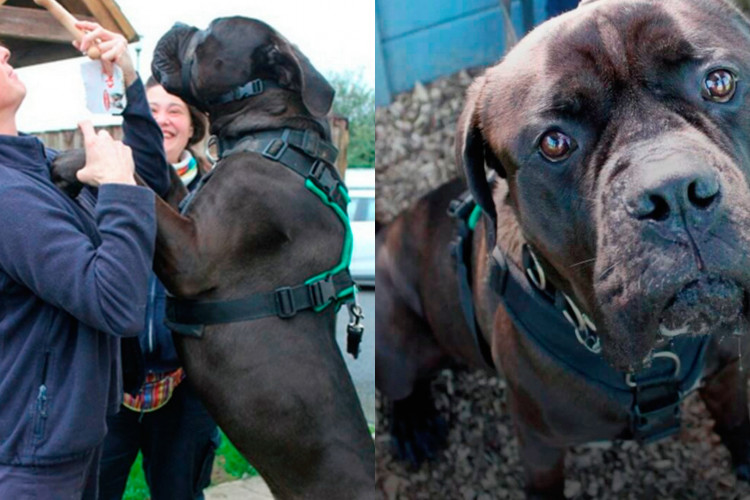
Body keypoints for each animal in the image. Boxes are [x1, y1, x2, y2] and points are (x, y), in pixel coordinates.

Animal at [382, 0, 750, 496]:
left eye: (720, 82)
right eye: (554, 143)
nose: (674, 191)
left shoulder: (728, 372)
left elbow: (735, 418)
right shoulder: (539, 441)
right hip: (396, 341)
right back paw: (411, 424)